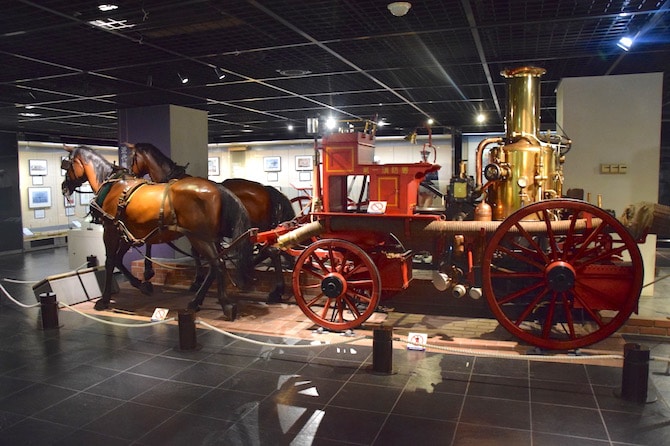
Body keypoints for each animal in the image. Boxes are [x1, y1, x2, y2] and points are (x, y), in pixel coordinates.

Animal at [61, 145, 252, 316]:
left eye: (67, 164)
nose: (64, 187)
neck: (113, 185)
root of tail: (218, 188)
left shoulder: (110, 231)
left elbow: (110, 262)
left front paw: (104, 299)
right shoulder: (126, 233)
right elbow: (118, 260)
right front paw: (143, 284)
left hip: (200, 237)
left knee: (216, 264)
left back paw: (223, 304)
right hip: (210, 238)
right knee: (217, 264)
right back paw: (200, 301)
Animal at [126, 143, 294, 304]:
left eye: (132, 158)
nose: (132, 174)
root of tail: (266, 189)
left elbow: (154, 243)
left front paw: (150, 272)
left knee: (272, 251)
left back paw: (272, 287)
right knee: (273, 251)